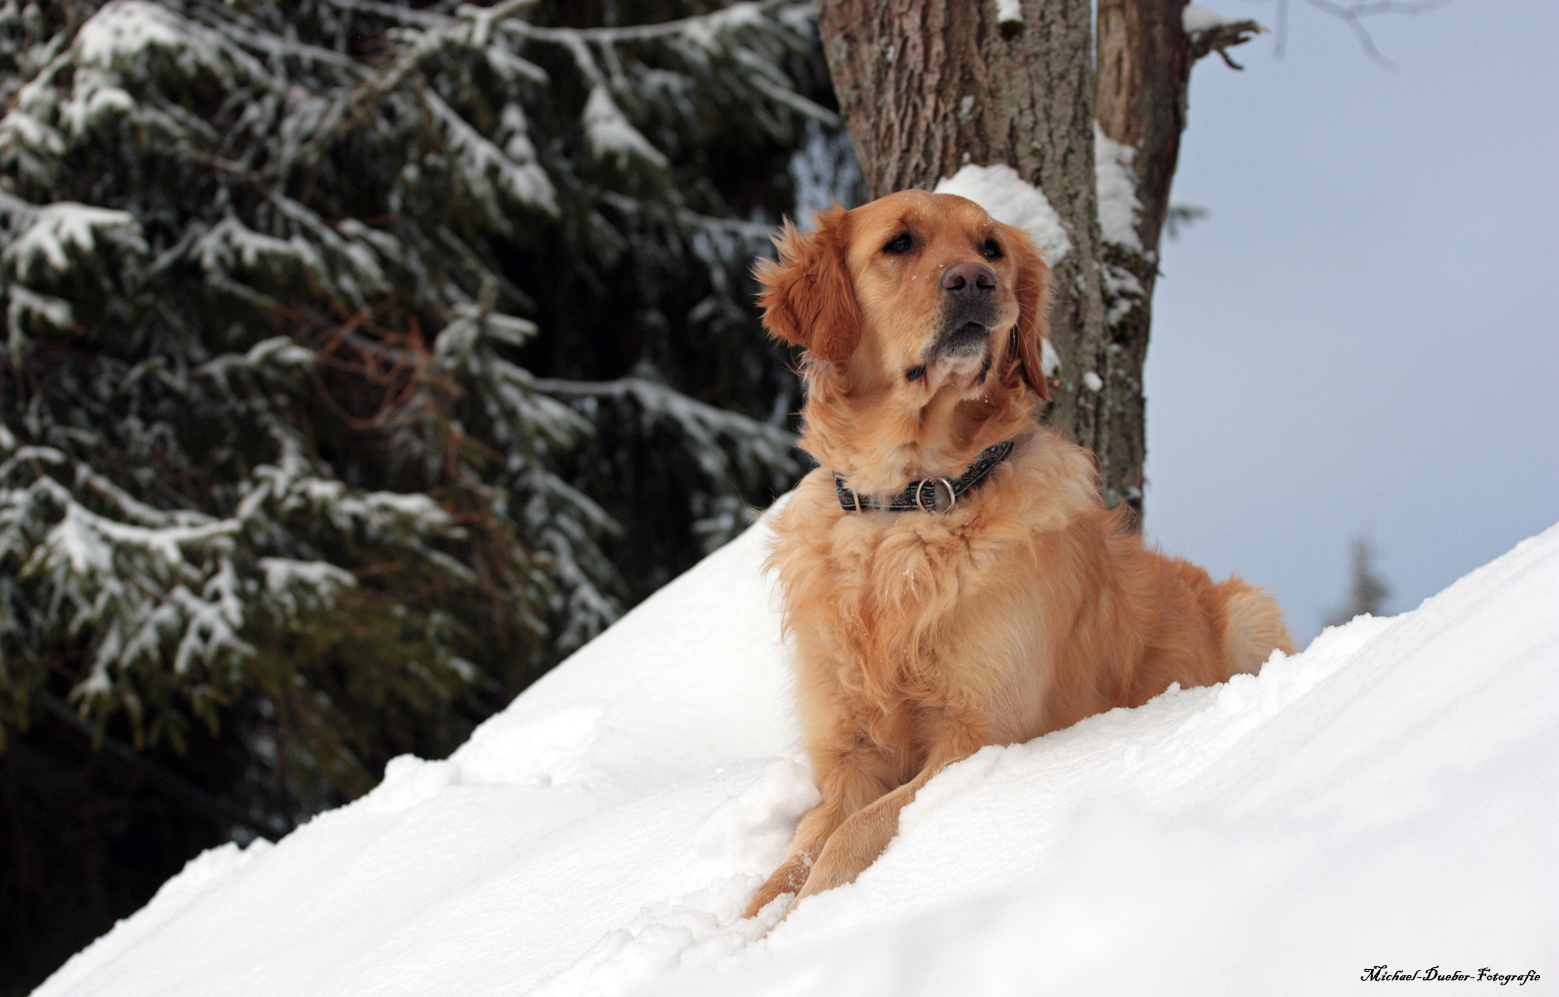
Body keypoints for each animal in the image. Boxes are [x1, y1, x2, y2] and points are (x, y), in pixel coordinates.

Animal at [742, 188, 1290, 922]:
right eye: (899, 243)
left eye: (991, 248)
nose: (975, 280)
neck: (909, 502)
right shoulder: (848, 753)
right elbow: (785, 865)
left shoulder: (980, 732)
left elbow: (850, 836)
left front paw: (816, 917)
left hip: (1252, 610)